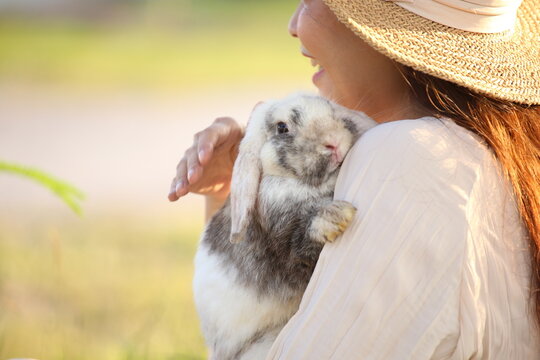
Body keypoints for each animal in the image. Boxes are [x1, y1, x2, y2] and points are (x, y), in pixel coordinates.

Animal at [193, 93, 376, 360]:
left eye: (330, 109)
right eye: (282, 127)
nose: (334, 142)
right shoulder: (287, 245)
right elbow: (302, 243)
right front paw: (335, 217)